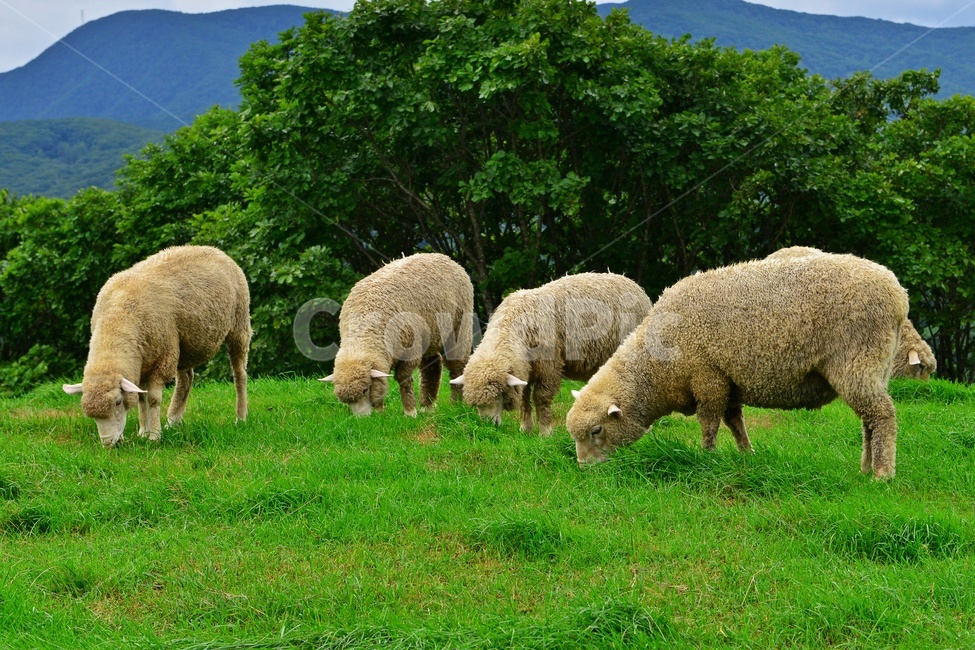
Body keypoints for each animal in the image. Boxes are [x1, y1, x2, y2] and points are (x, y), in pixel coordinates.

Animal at [63, 245, 251, 448]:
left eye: (118, 402)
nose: (108, 443)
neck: (118, 317)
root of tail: (214, 250)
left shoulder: (161, 360)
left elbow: (153, 399)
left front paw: (154, 436)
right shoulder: (142, 363)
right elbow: (141, 398)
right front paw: (143, 432)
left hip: (238, 327)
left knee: (240, 374)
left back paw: (241, 417)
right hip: (184, 343)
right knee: (186, 380)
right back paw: (173, 421)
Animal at [321, 253, 473, 417]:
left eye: (365, 389)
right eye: (346, 401)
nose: (362, 419)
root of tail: (443, 257)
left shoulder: (410, 350)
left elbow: (403, 379)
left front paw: (410, 412)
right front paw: (380, 412)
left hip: (458, 327)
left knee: (456, 365)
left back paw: (456, 403)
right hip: (430, 335)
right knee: (432, 367)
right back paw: (427, 406)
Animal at [450, 273, 652, 435]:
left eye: (498, 395)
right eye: (477, 405)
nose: (488, 427)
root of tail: (634, 284)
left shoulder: (549, 368)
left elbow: (541, 398)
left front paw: (545, 432)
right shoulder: (526, 368)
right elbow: (524, 399)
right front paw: (526, 428)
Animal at [565, 252, 909, 478]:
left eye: (596, 430)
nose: (583, 469)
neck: (656, 367)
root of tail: (898, 294)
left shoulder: (708, 377)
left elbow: (709, 423)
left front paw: (707, 456)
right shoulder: (728, 380)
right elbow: (735, 422)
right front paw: (747, 454)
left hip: (858, 359)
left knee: (882, 416)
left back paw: (882, 473)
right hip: (874, 367)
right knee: (869, 421)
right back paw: (866, 468)